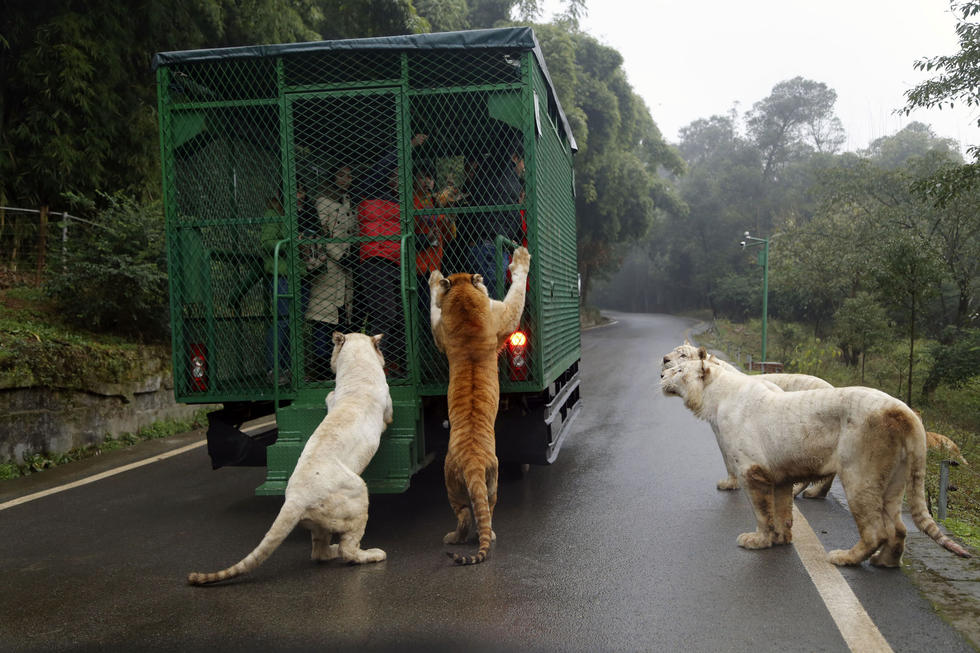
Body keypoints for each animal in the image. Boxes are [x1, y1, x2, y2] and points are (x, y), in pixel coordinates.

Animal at [426, 247, 528, 564]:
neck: (464, 302)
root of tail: (471, 462)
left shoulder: (442, 335)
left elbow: (434, 309)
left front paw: (435, 279)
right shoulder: (504, 318)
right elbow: (517, 292)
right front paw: (521, 257)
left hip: (467, 484)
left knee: (471, 514)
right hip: (476, 483)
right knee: (471, 516)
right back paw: (462, 537)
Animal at [664, 342, 832, 494]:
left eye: (683, 355)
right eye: (673, 351)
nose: (665, 359)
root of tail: (831, 387)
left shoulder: (723, 431)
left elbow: (727, 457)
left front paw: (729, 484)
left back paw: (801, 490)